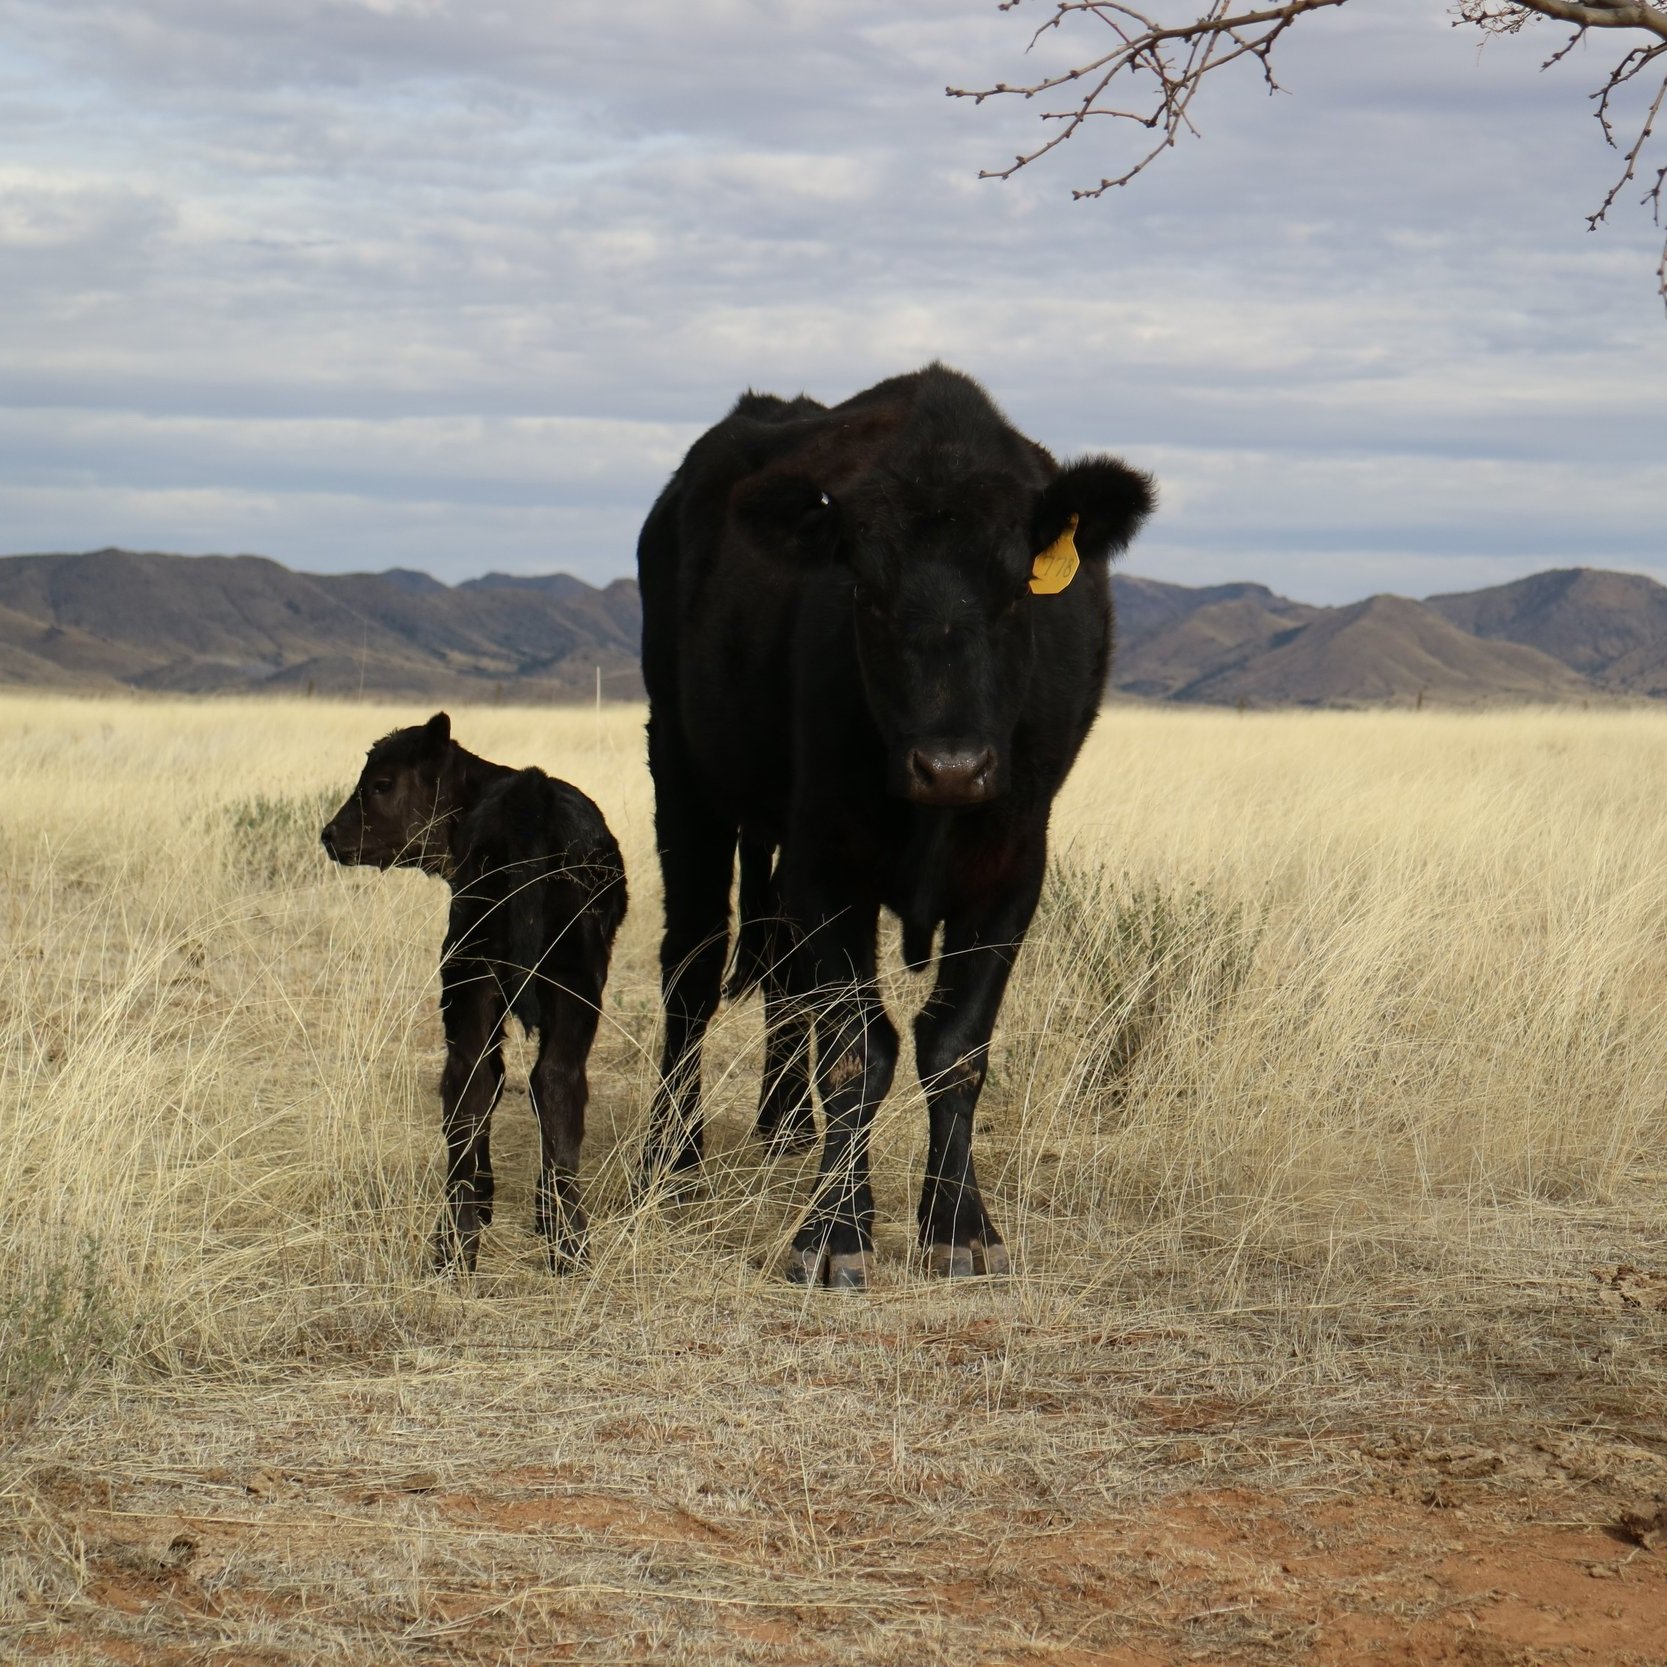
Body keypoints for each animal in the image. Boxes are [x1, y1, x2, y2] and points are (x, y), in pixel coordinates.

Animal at [320, 713, 627, 1274]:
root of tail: (530, 801)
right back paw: (548, 1235)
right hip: (549, 982)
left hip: (483, 976)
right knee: (535, 1079)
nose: (330, 835)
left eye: (381, 784)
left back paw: (468, 1241)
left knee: (484, 1079)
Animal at [637, 363, 1154, 1287]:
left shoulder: (1013, 866)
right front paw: (834, 1231)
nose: (950, 765)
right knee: (691, 967)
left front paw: (958, 1225)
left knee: (777, 970)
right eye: (868, 594)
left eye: (1016, 590)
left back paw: (784, 1127)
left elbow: (954, 1046)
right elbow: (858, 1048)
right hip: (683, 769)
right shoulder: (827, 863)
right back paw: (674, 1155)